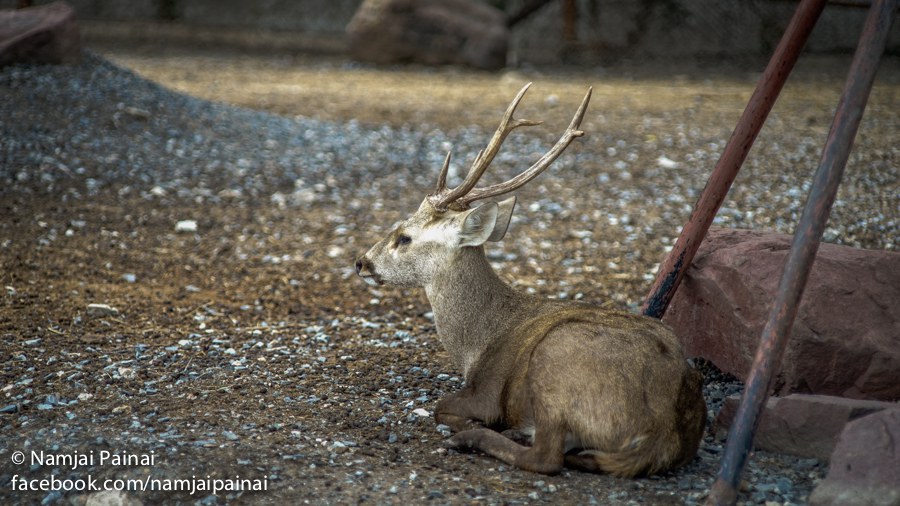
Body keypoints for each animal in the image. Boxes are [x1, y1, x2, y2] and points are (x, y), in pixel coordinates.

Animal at [356, 84, 708, 478]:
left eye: (404, 237)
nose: (361, 262)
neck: (476, 344)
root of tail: (661, 433)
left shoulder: (486, 393)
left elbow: (441, 407)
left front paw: (473, 425)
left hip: (557, 358)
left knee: (546, 457)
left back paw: (478, 437)